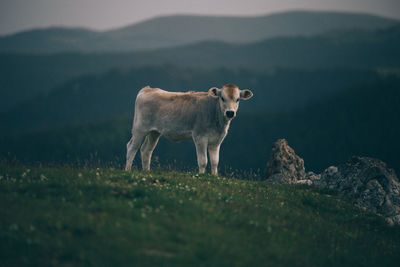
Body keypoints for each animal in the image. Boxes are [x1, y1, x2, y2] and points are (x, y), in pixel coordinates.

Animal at [124, 84, 253, 176]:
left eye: (238, 99)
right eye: (222, 98)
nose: (230, 112)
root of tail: (147, 89)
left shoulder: (217, 141)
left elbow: (215, 162)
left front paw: (214, 176)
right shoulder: (200, 137)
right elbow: (203, 161)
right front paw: (201, 176)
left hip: (154, 132)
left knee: (146, 150)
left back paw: (147, 171)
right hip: (140, 128)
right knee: (132, 147)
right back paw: (128, 170)